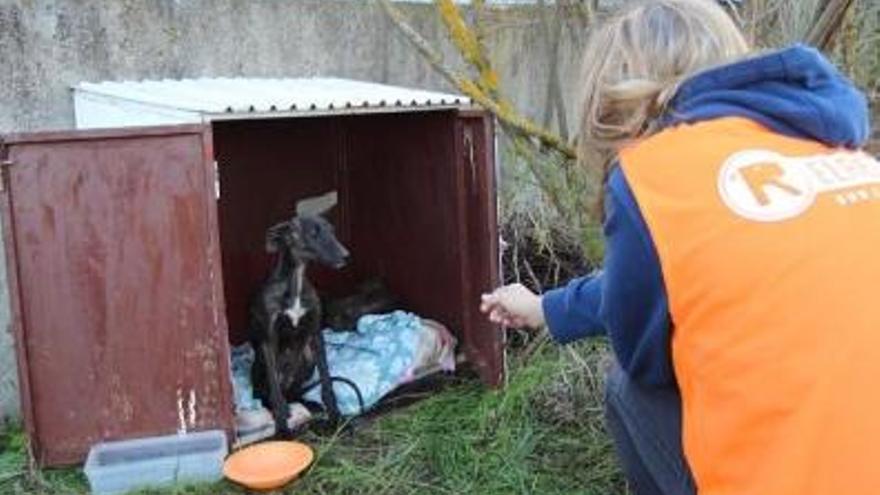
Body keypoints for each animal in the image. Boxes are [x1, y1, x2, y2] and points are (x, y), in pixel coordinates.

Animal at [248, 215, 350, 436]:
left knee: (293, 393)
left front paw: (335, 417)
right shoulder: (268, 341)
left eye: (332, 230)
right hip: (261, 363)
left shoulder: (315, 333)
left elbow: (327, 381)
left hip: (306, 358)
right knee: (269, 395)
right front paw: (282, 431)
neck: (297, 279)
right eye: (313, 233)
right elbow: (275, 392)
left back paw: (309, 403)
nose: (346, 256)